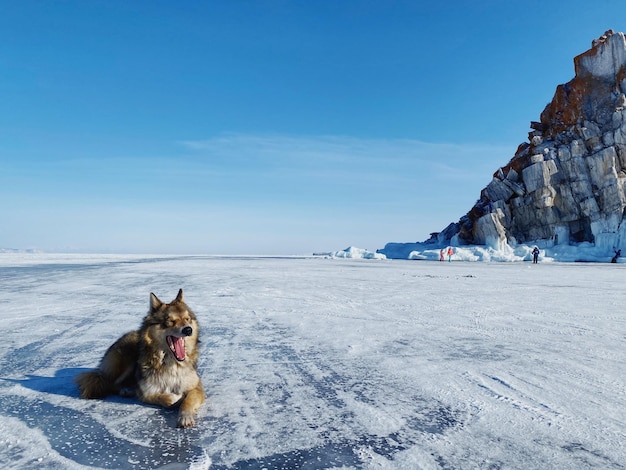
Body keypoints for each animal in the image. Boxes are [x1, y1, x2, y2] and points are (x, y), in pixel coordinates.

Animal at [74, 288, 204, 428]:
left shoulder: (197, 387)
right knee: (111, 383)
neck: (171, 363)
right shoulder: (145, 391)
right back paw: (126, 390)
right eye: (170, 321)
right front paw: (175, 398)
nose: (188, 330)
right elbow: (165, 398)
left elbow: (188, 401)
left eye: (187, 319)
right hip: (128, 361)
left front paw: (185, 416)